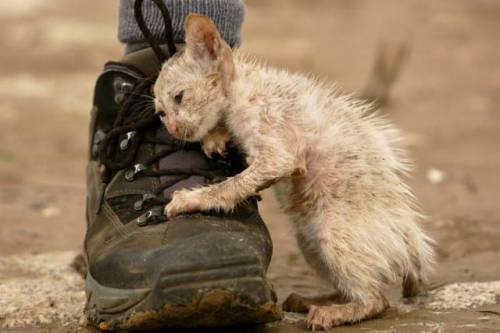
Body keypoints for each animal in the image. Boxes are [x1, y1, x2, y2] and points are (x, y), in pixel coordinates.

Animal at [152, 13, 434, 330]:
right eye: (161, 113)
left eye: (179, 96)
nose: (173, 129)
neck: (243, 88)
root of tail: (412, 249)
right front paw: (216, 137)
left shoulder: (277, 149)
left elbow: (232, 185)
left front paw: (189, 199)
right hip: (309, 242)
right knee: (355, 288)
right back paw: (312, 301)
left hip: (332, 233)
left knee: (376, 300)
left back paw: (332, 312)